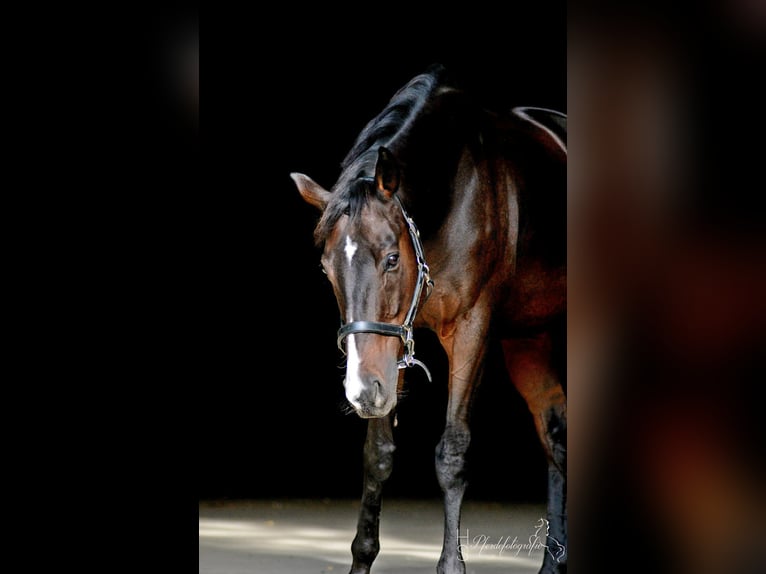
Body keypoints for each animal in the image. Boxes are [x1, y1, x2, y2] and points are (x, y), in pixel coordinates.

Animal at [291, 63, 566, 574]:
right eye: (325, 268)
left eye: (391, 258)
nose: (360, 390)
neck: (456, 194)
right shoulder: (390, 343)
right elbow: (377, 456)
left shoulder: (472, 330)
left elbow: (452, 453)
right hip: (528, 338)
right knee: (554, 429)